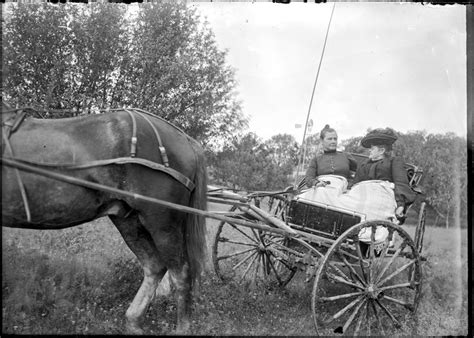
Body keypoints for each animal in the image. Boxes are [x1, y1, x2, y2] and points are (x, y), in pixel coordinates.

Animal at [0, 103, 207, 336]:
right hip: (129, 221)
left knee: (180, 273)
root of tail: (186, 140)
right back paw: (133, 321)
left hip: (162, 224)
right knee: (155, 266)